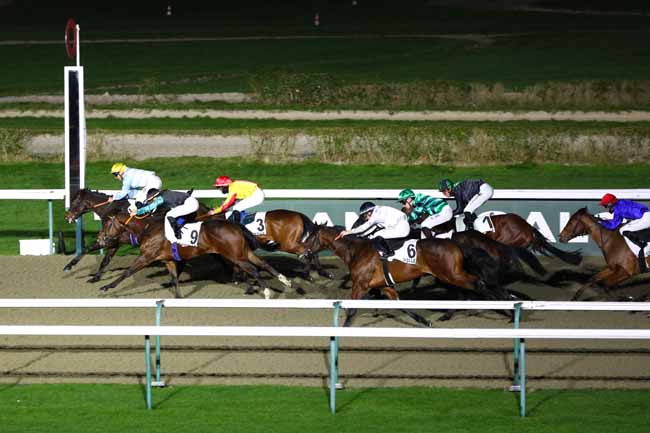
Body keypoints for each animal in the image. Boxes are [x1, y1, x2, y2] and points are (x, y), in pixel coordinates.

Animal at [98, 210, 292, 296]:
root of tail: (236, 225)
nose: (100, 240)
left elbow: (127, 272)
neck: (147, 228)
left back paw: (266, 291)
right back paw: (286, 282)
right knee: (263, 264)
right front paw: (178, 297)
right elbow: (174, 278)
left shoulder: (146, 257)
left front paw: (107, 287)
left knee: (252, 269)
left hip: (234, 255)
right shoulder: (168, 260)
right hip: (243, 252)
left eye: (106, 224)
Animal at [308, 224, 506, 326]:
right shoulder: (385, 285)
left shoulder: (360, 285)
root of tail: (455, 244)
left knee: (479, 284)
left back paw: (504, 308)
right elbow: (400, 304)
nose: (305, 252)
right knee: (474, 287)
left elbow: (352, 311)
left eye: (309, 236)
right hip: (450, 275)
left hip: (451, 275)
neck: (356, 251)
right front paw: (424, 321)